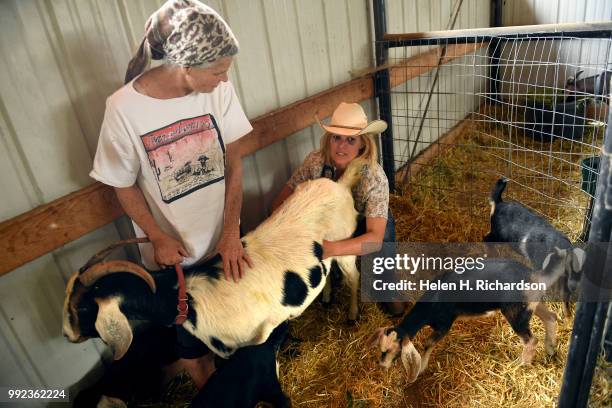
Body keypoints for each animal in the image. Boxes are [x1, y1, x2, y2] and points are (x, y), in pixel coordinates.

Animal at [62, 161, 364, 362]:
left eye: (84, 308)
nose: (67, 335)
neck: (187, 297)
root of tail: (338, 184)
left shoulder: (258, 336)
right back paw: (326, 298)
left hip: (345, 245)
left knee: (354, 276)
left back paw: (352, 314)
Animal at [370, 250, 572, 384]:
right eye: (380, 348)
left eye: (388, 350)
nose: (382, 365)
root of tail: (533, 275)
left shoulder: (444, 323)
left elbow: (427, 343)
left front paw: (421, 369)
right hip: (529, 305)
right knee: (551, 317)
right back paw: (550, 349)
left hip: (515, 313)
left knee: (531, 340)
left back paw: (519, 365)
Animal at [482, 177, 588, 314]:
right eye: (570, 265)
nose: (574, 286)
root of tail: (499, 203)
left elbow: (564, 296)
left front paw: (568, 315)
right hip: (496, 234)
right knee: (485, 238)